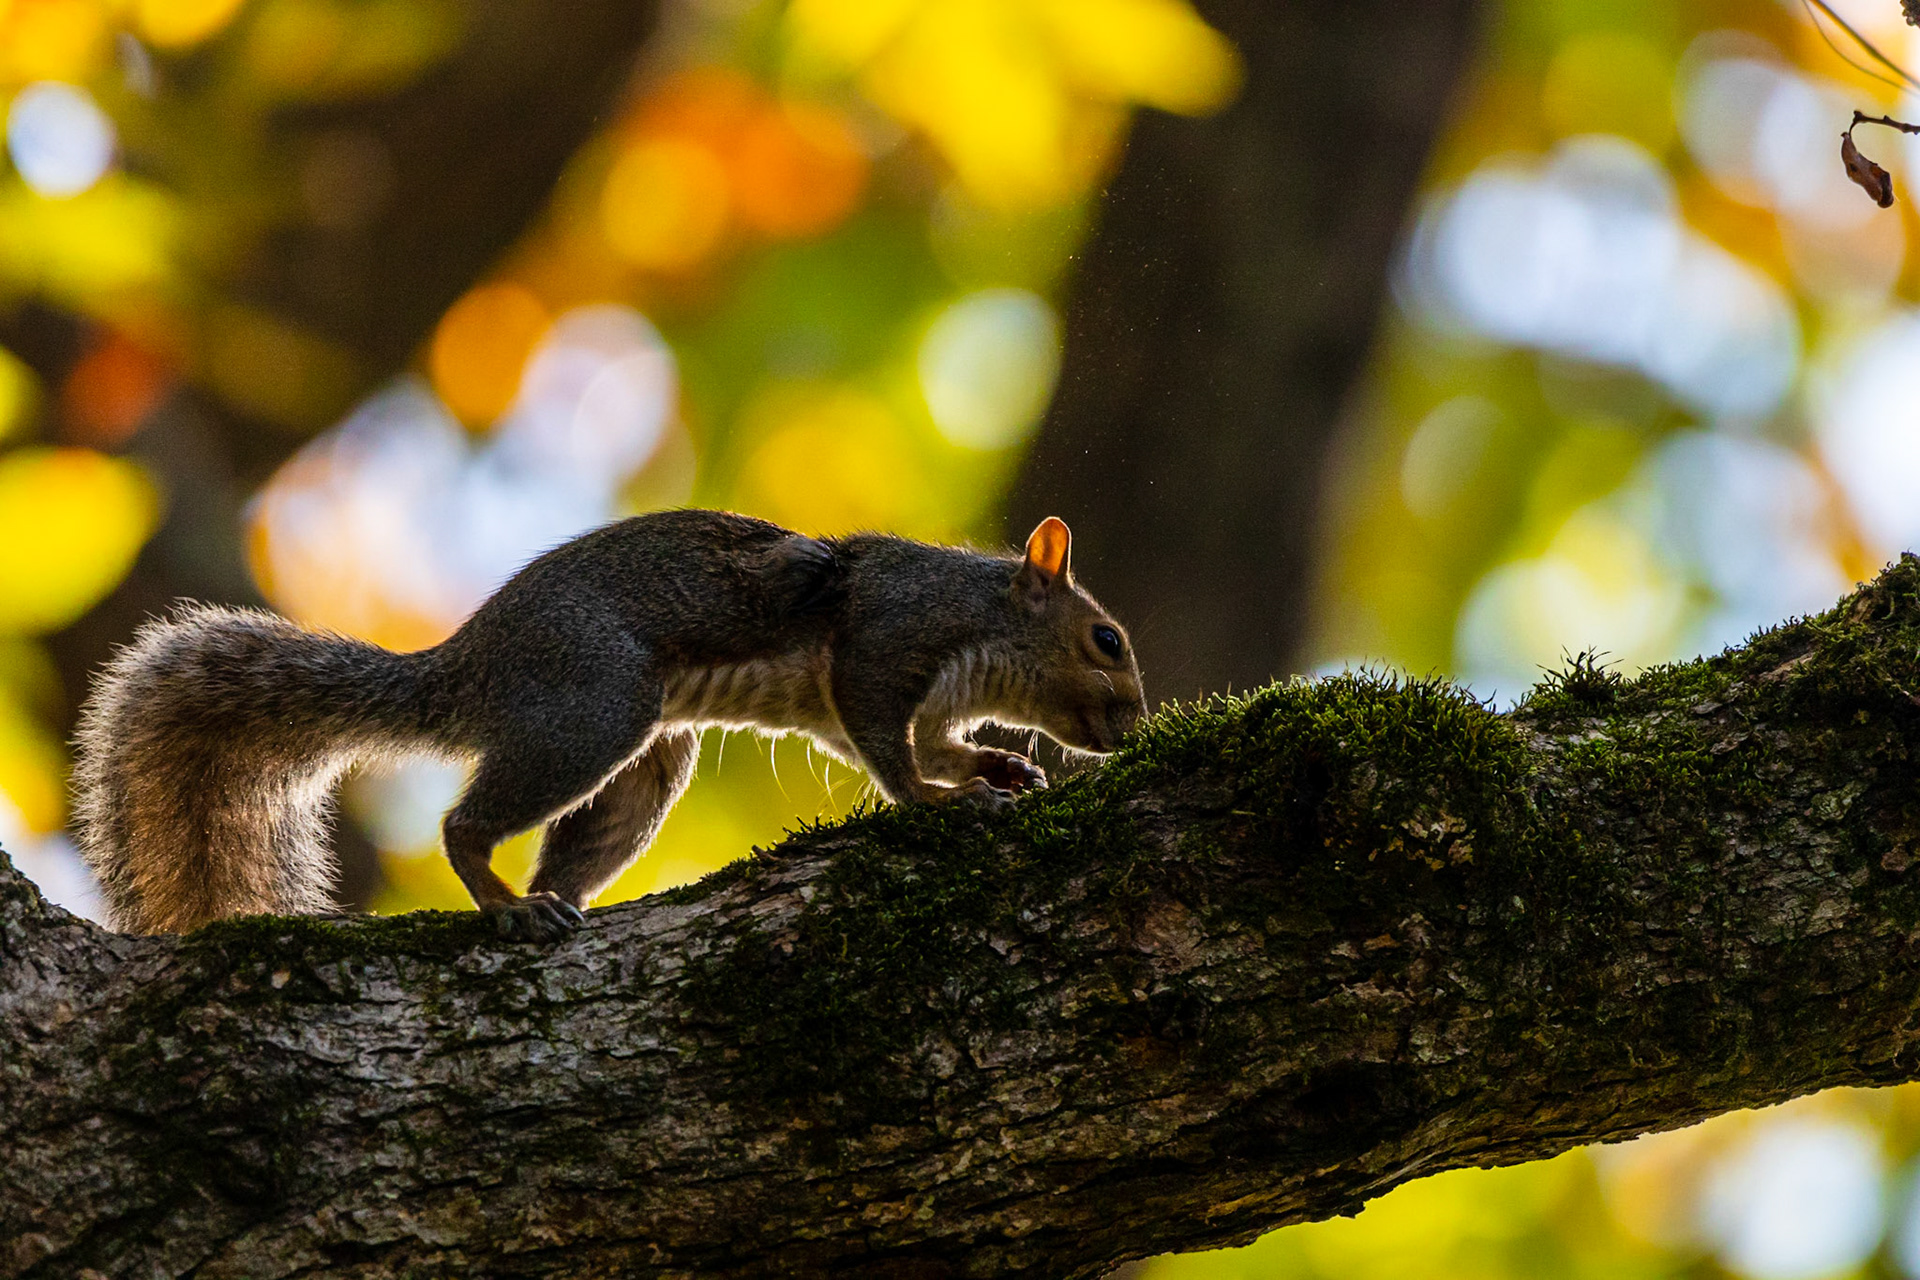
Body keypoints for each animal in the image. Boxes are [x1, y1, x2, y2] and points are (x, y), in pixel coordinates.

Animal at [73, 509, 1147, 942]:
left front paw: (996, 766)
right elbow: (891, 748)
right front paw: (940, 798)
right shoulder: (886, 640)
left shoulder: (877, 705)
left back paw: (557, 901)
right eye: (1107, 639)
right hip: (595, 707)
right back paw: (503, 905)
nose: (1132, 730)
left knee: (577, 843)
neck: (984, 621)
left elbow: (918, 741)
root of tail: (469, 665)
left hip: (638, 773)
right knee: (464, 826)